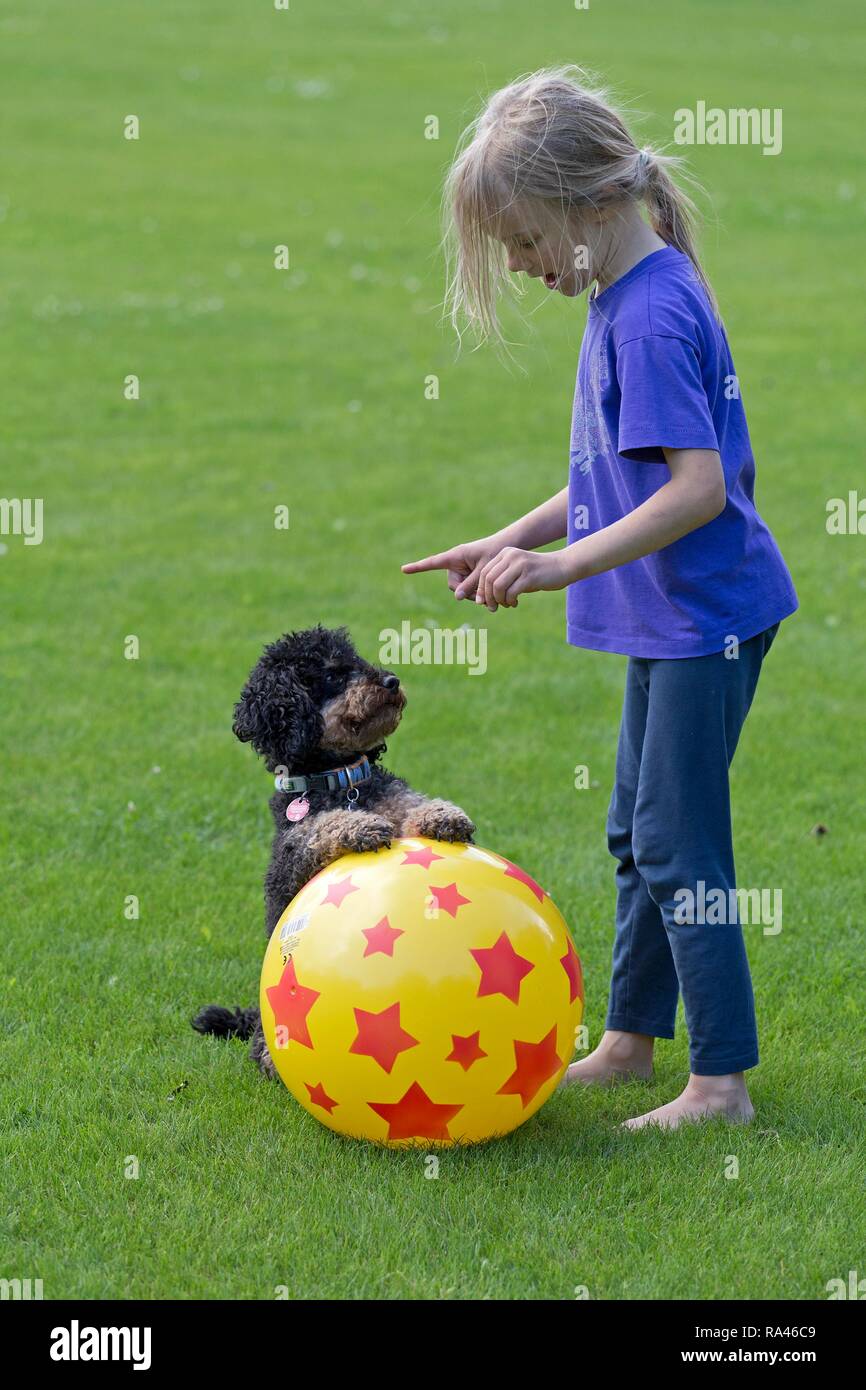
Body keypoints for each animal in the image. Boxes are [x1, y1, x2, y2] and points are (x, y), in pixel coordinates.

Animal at [191, 628, 475, 1073]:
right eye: (330, 675)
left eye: (357, 662)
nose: (390, 681)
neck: (341, 780)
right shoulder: (292, 855)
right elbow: (321, 828)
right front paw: (360, 826)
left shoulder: (392, 796)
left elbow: (411, 804)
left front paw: (442, 814)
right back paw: (269, 1058)